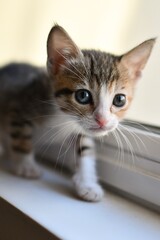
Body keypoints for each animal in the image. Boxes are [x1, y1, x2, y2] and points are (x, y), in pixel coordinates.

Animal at [0, 25, 155, 202]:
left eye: (119, 100)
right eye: (83, 96)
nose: (102, 120)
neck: (63, 117)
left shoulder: (81, 130)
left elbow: (85, 150)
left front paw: (87, 184)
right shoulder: (20, 104)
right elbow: (21, 136)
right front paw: (26, 165)